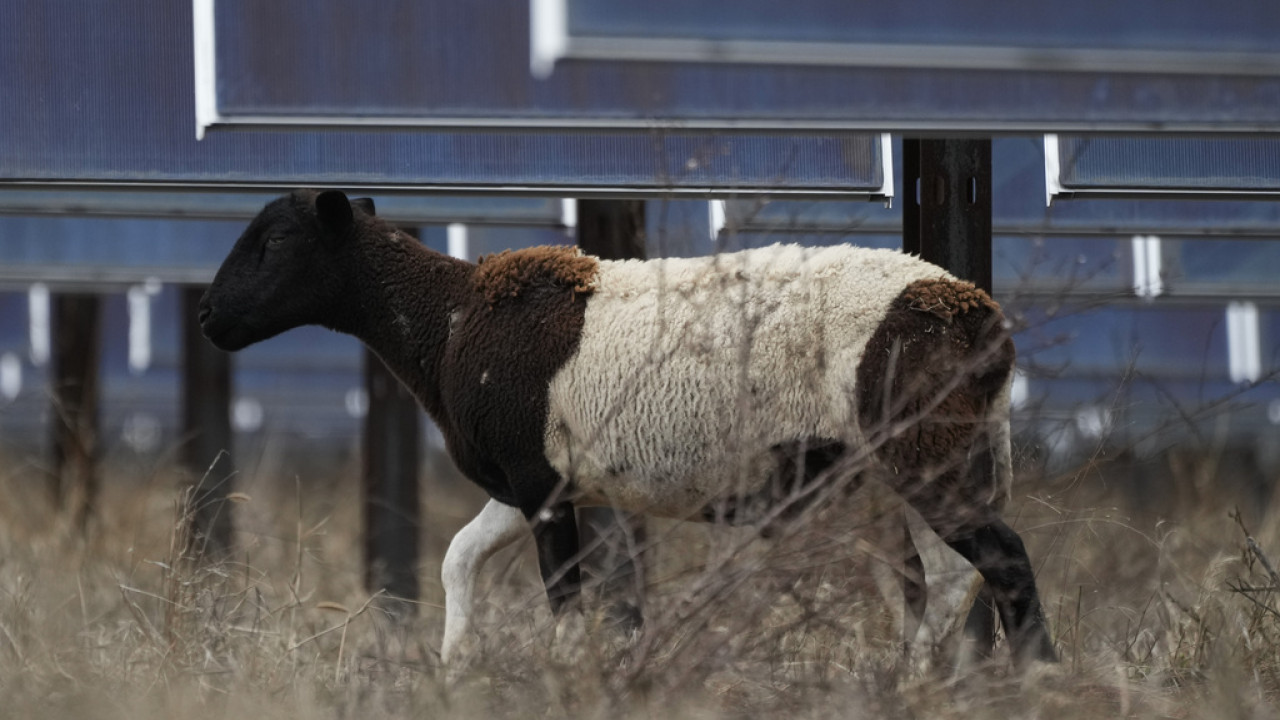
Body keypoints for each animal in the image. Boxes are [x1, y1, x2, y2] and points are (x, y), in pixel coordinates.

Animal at [199, 189, 1054, 666]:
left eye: (275, 242)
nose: (207, 317)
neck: (447, 322)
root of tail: (985, 319)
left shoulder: (543, 485)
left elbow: (566, 603)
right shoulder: (529, 480)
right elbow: (456, 559)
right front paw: (454, 667)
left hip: (925, 453)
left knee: (1002, 559)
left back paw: (1039, 676)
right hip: (900, 473)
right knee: (940, 581)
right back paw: (912, 682)